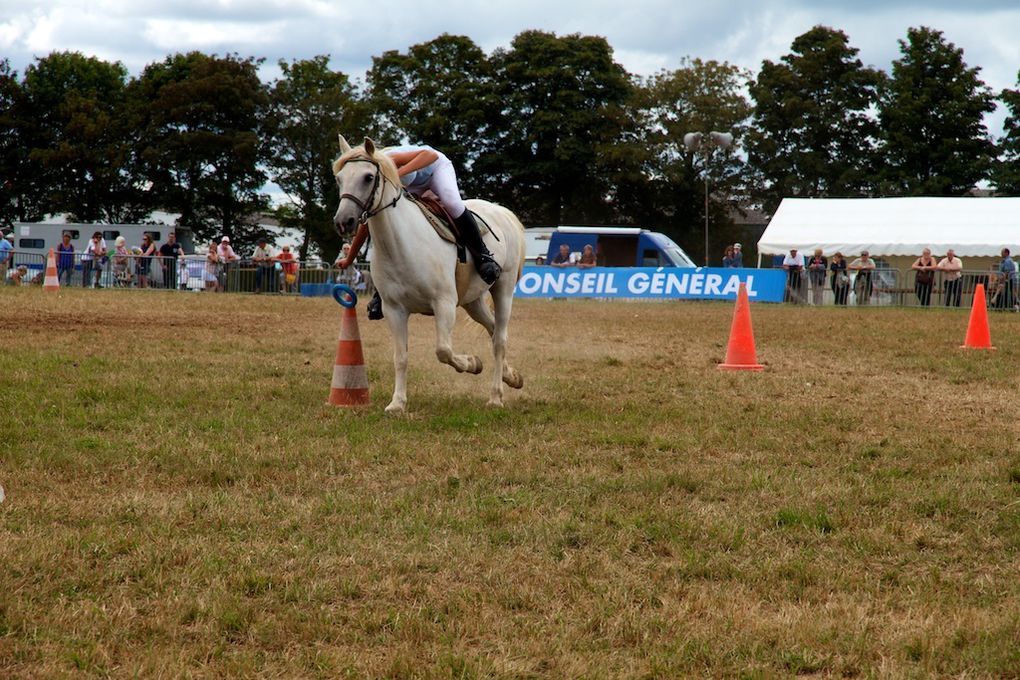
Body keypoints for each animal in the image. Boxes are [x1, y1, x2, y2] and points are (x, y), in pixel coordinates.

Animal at [332, 135, 526, 411]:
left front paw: (472, 363)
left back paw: (496, 397)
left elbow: (443, 350)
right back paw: (512, 377)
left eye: (368, 177)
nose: (343, 221)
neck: (400, 245)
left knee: (499, 340)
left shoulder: (443, 303)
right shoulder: (394, 310)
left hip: (504, 289)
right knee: (492, 330)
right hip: (473, 300)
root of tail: (503, 212)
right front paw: (397, 403)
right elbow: (401, 357)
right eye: (339, 179)